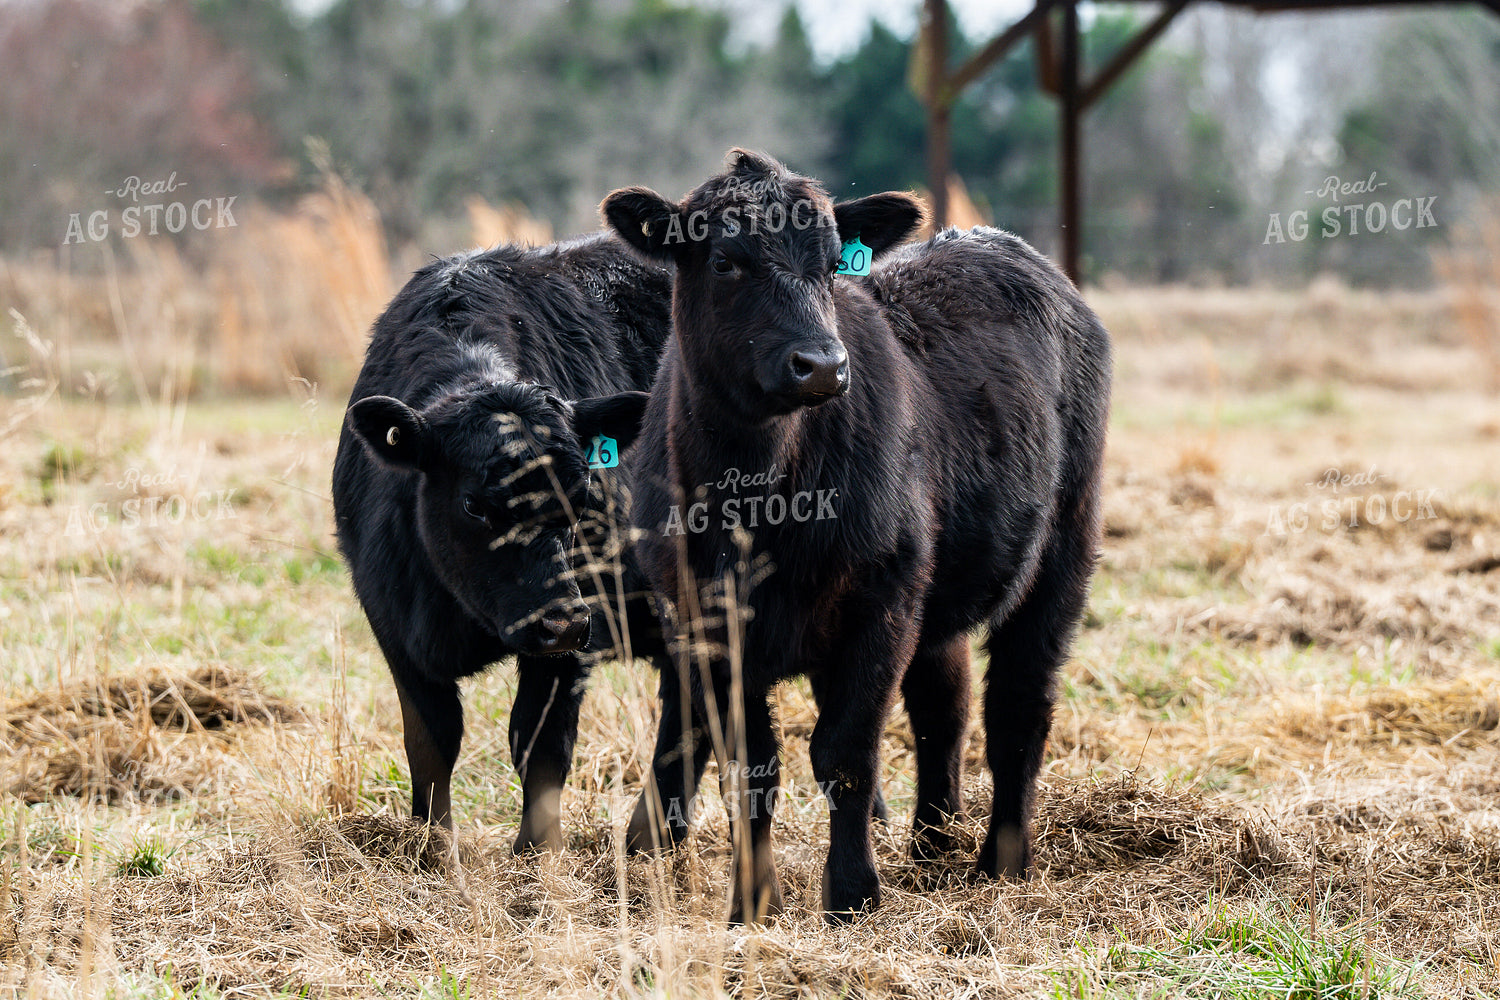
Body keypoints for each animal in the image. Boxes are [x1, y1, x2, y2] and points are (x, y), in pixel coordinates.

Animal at [332, 233, 669, 854]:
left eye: (581, 491)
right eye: (473, 504)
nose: (561, 622)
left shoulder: (576, 628)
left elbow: (540, 742)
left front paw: (536, 854)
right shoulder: (392, 622)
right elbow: (431, 741)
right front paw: (432, 849)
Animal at [594, 149, 1112, 924]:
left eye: (833, 261)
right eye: (724, 260)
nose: (821, 365)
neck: (759, 496)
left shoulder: (881, 601)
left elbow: (845, 754)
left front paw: (852, 892)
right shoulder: (707, 626)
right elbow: (749, 763)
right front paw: (753, 903)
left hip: (1061, 554)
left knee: (1018, 706)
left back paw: (1001, 863)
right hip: (938, 594)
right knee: (944, 704)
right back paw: (933, 840)